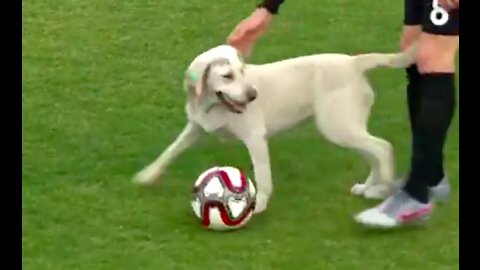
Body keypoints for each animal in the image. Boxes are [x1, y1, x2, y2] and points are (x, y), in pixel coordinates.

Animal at [134, 43, 416, 213]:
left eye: (242, 71)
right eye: (227, 76)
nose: (252, 96)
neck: (213, 105)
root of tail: (354, 62)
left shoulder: (255, 138)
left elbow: (263, 176)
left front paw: (258, 205)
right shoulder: (195, 129)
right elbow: (170, 151)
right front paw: (147, 175)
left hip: (337, 127)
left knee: (382, 148)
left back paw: (381, 190)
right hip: (345, 127)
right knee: (374, 152)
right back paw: (367, 188)